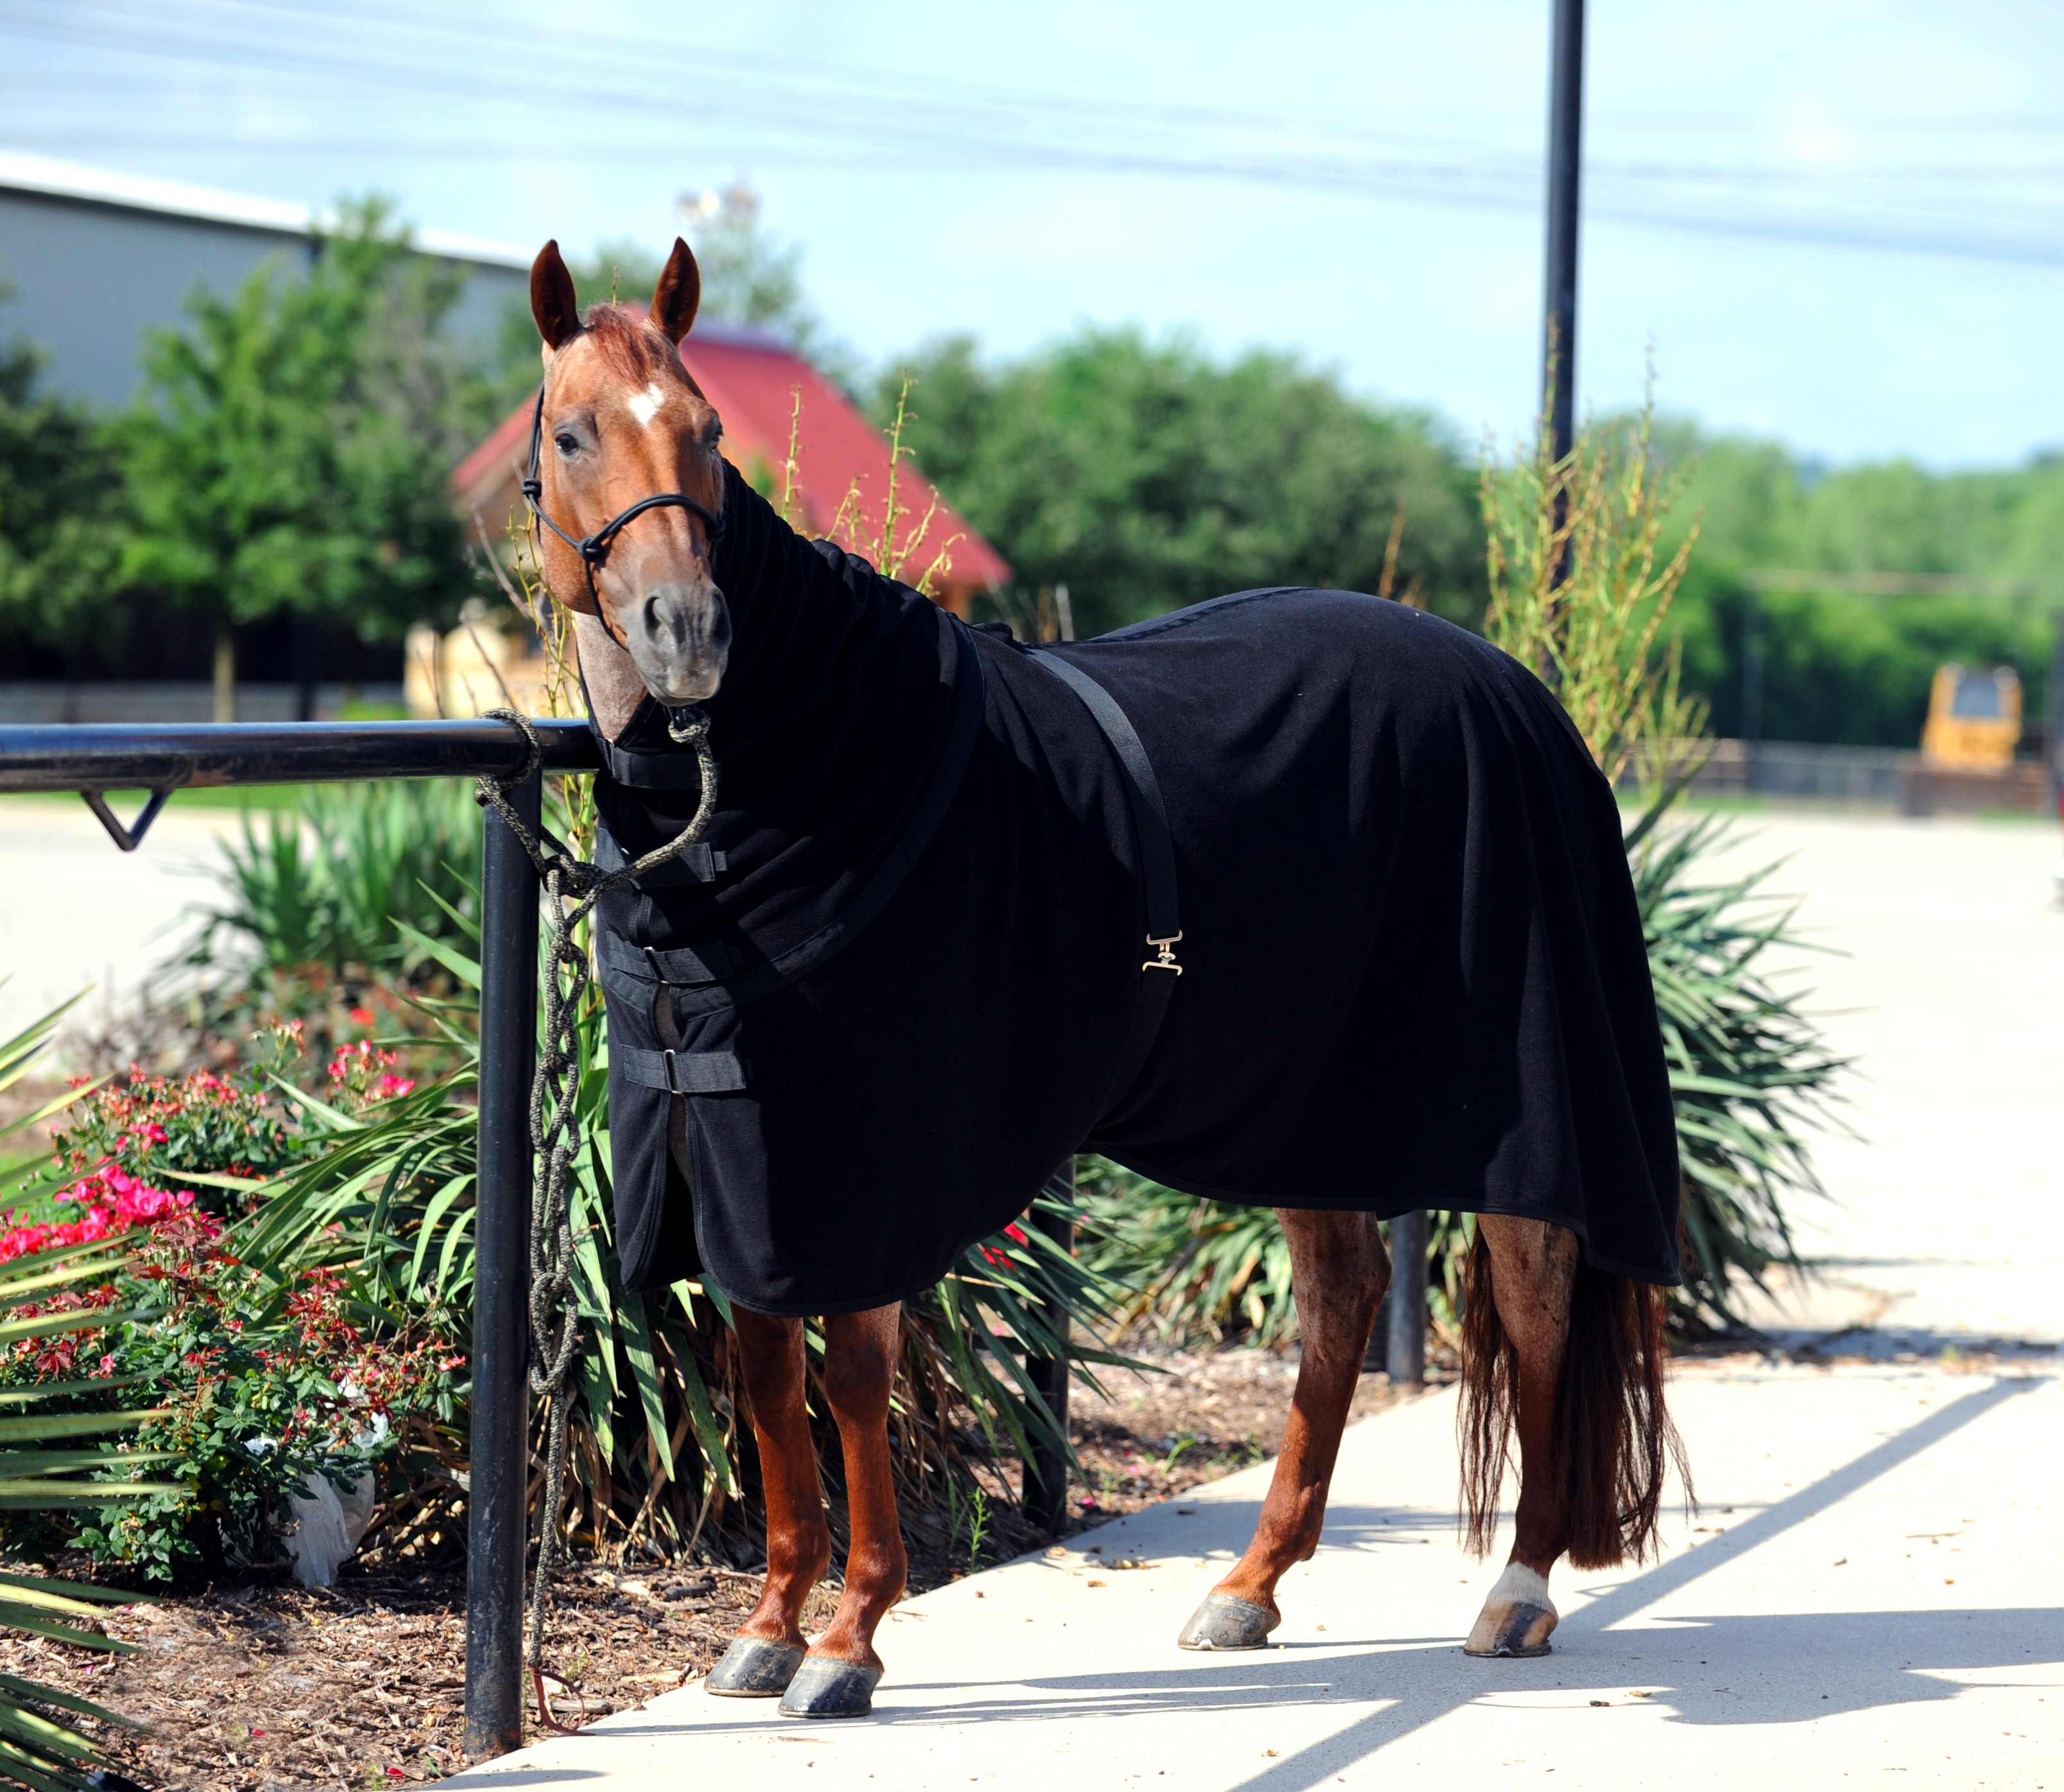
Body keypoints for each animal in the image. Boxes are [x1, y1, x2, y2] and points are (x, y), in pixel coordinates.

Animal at [517, 236, 1685, 1720]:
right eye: (571, 431)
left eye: (710, 433)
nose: (689, 631)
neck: (795, 766)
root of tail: (1522, 695)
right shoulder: (734, 1155)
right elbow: (771, 1378)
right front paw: (771, 1623)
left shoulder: (859, 1167)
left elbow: (854, 1379)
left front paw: (849, 1641)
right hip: (1310, 1104)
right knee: (1344, 1298)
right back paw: (1250, 1586)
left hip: (1516, 1120)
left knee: (1535, 1303)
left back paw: (1518, 1590)